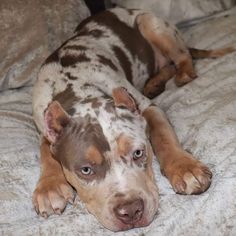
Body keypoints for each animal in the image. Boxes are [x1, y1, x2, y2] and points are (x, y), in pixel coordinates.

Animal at [31, 7, 234, 232]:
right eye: (86, 170)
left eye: (138, 153)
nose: (130, 211)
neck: (72, 86)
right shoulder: (45, 127)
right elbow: (46, 152)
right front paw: (49, 186)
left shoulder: (147, 108)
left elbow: (163, 136)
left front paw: (185, 168)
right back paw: (154, 83)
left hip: (151, 24)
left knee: (183, 58)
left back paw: (183, 75)